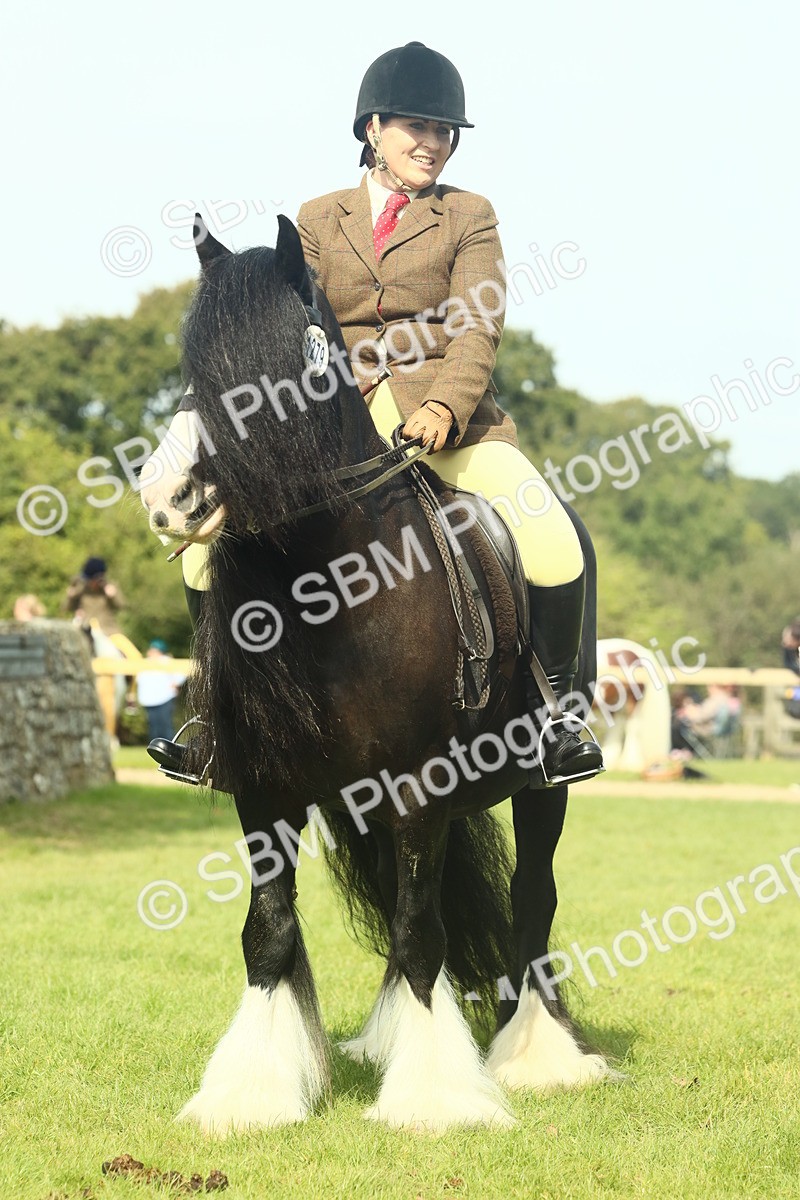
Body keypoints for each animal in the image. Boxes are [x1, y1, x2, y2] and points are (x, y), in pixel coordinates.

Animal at [137, 214, 616, 1132]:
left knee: (530, 899)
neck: (332, 586)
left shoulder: (420, 786)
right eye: (191, 361)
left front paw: (434, 1102)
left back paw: (536, 1056)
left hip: (543, 784)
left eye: (301, 351)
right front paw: (251, 1093)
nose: (169, 497)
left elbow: (423, 935)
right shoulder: (266, 791)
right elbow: (270, 932)